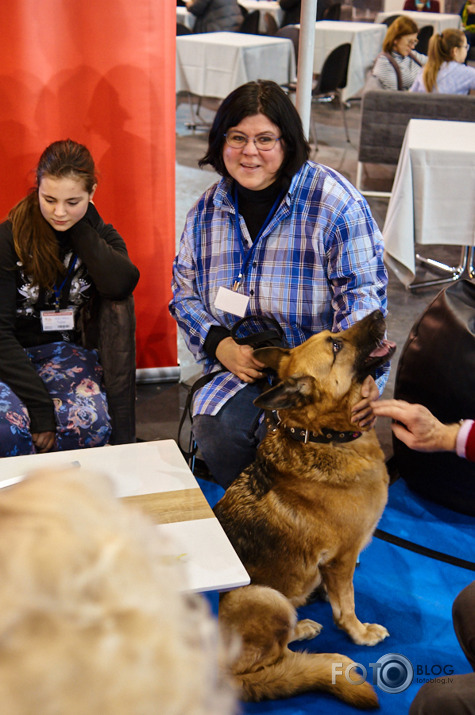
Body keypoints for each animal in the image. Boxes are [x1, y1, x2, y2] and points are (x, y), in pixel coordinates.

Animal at [216, 310, 398, 708]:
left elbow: (339, 596)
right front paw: (359, 632)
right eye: (336, 345)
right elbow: (347, 605)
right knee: (275, 662)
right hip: (267, 597)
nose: (380, 312)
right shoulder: (342, 559)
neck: (323, 436)